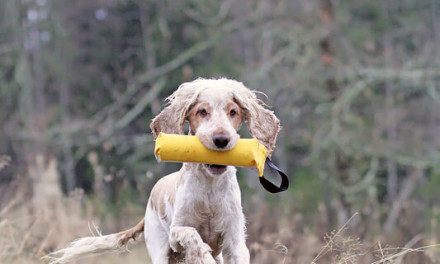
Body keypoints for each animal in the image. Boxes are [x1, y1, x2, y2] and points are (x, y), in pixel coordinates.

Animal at [46, 78, 280, 264]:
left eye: (233, 112)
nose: (221, 139)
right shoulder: (176, 233)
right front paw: (201, 256)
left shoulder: (234, 239)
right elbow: (191, 234)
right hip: (160, 250)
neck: (209, 190)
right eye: (202, 111)